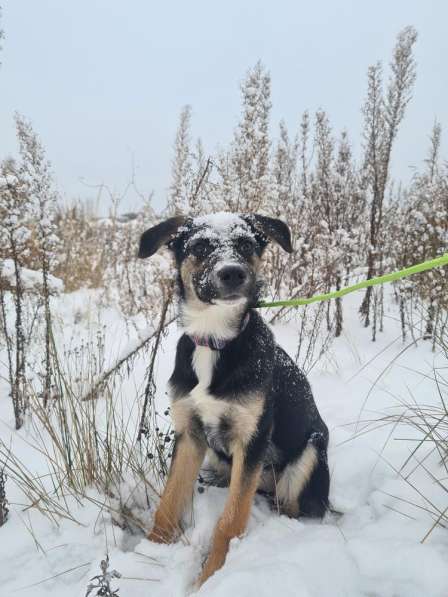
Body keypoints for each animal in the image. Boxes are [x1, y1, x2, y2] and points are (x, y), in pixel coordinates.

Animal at [138, 212, 330, 584]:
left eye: (244, 244)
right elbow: (168, 503)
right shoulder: (189, 434)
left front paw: (209, 576)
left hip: (311, 449)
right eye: (199, 246)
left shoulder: (252, 439)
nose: (232, 273)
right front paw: (148, 555)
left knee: (295, 507)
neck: (215, 339)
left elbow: (230, 521)